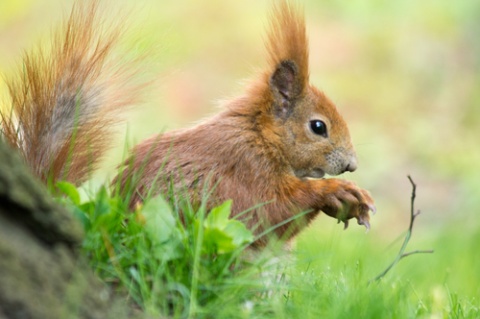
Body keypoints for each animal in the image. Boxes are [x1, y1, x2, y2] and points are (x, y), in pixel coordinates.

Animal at [0, 0, 376, 245]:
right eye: (318, 127)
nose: (352, 165)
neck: (260, 137)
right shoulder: (246, 169)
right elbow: (274, 211)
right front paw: (336, 192)